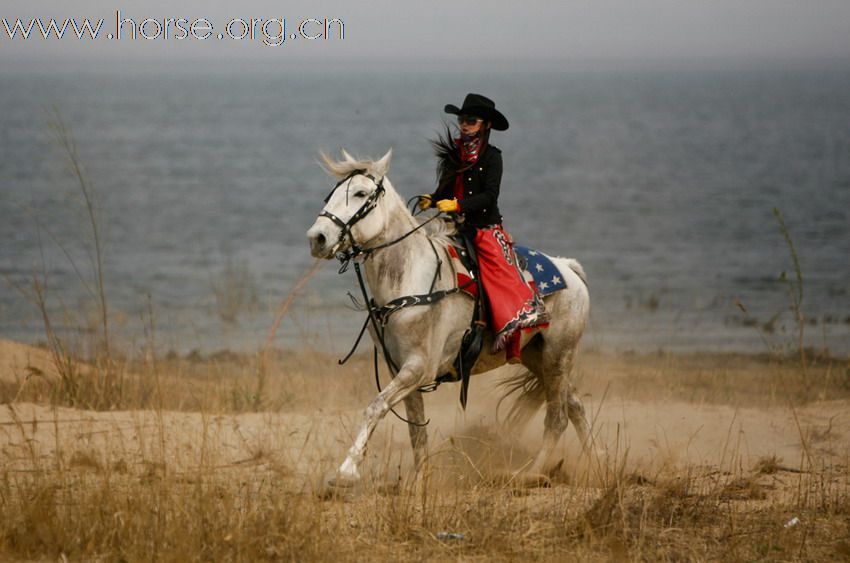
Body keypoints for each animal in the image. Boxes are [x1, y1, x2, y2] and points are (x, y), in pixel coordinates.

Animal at [308, 150, 592, 490]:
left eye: (361, 194)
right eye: (332, 193)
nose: (317, 238)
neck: (411, 280)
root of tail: (568, 269)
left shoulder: (419, 367)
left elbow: (375, 407)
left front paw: (346, 471)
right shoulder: (399, 369)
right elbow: (416, 430)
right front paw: (420, 481)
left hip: (557, 356)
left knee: (557, 418)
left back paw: (530, 473)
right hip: (539, 359)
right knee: (575, 407)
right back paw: (598, 464)